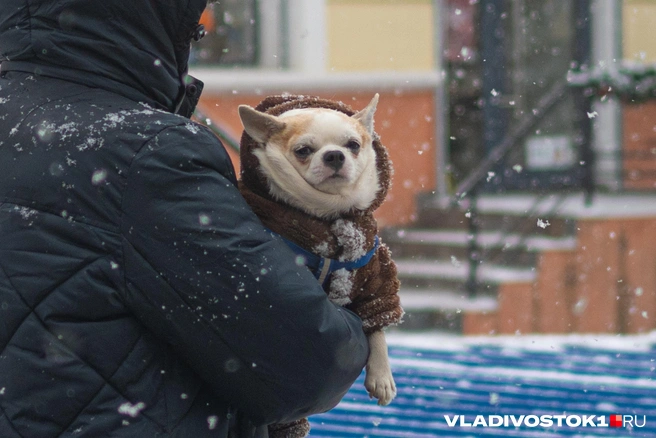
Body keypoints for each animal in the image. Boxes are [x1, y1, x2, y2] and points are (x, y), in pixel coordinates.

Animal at [236, 95, 400, 438]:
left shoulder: (371, 276)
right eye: (303, 150)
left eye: (353, 145)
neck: (327, 214)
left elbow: (376, 323)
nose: (335, 155)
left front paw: (381, 375)